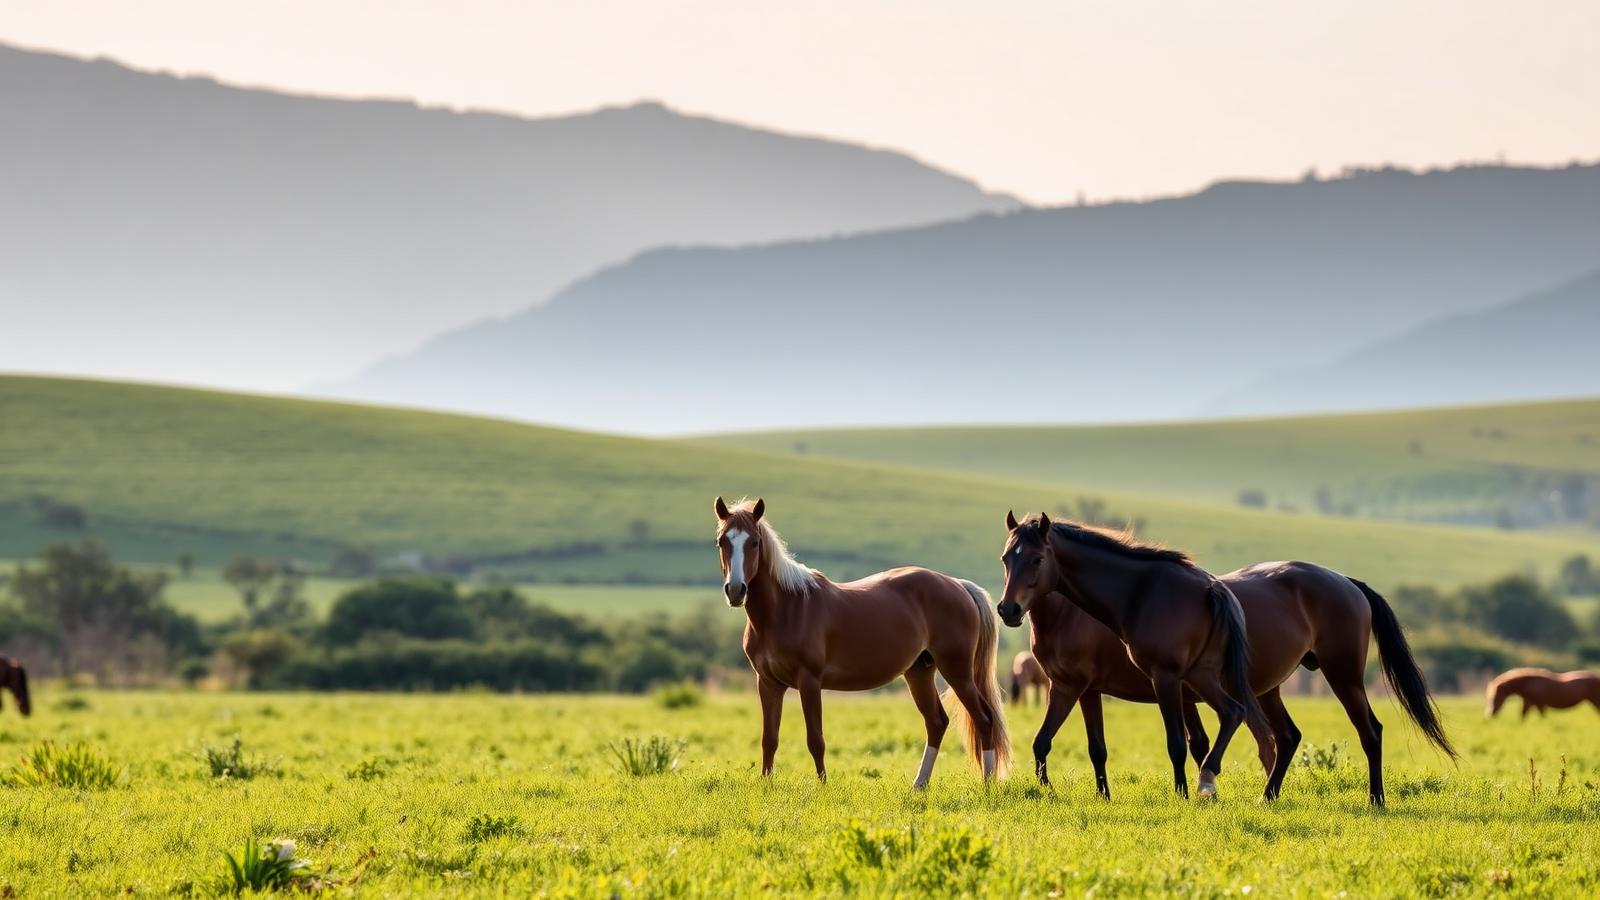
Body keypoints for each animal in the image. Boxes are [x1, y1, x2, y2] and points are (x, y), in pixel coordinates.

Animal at [714, 497, 1010, 786]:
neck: (786, 609)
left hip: (957, 671)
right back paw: (919, 785)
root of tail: (959, 585)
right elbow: (769, 740)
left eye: (754, 542)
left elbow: (815, 740)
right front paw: (766, 786)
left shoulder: (809, 681)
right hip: (920, 672)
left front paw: (823, 787)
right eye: (722, 541)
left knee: (984, 719)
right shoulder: (767, 683)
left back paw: (987, 784)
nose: (736, 590)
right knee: (936, 722)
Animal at [1000, 512, 1455, 804]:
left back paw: (1375, 799)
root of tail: (1346, 582)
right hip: (1265, 687)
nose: (1007, 609)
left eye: (1037, 558)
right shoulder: (1081, 689)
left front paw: (1183, 794)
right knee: (1286, 736)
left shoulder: (1155, 680)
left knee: (1369, 731)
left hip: (1342, 676)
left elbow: (1177, 744)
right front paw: (1095, 796)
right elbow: (1077, 746)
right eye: (1007, 558)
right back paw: (1266, 797)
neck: (1140, 593)